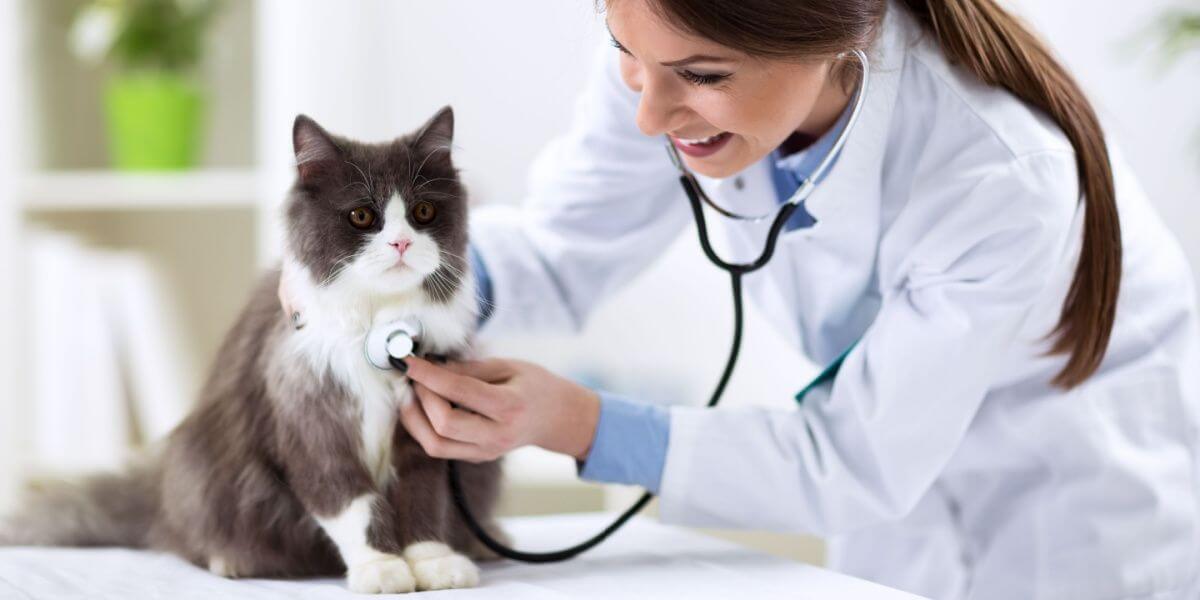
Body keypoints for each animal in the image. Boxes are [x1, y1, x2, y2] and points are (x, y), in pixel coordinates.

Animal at [0, 106, 506, 590]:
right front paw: (380, 567)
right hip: (203, 471)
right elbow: (352, 503)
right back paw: (230, 560)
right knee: (188, 536)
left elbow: (424, 499)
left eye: (423, 212)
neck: (379, 327)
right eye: (362, 216)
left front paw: (434, 562)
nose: (401, 242)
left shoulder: (425, 434)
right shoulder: (313, 425)